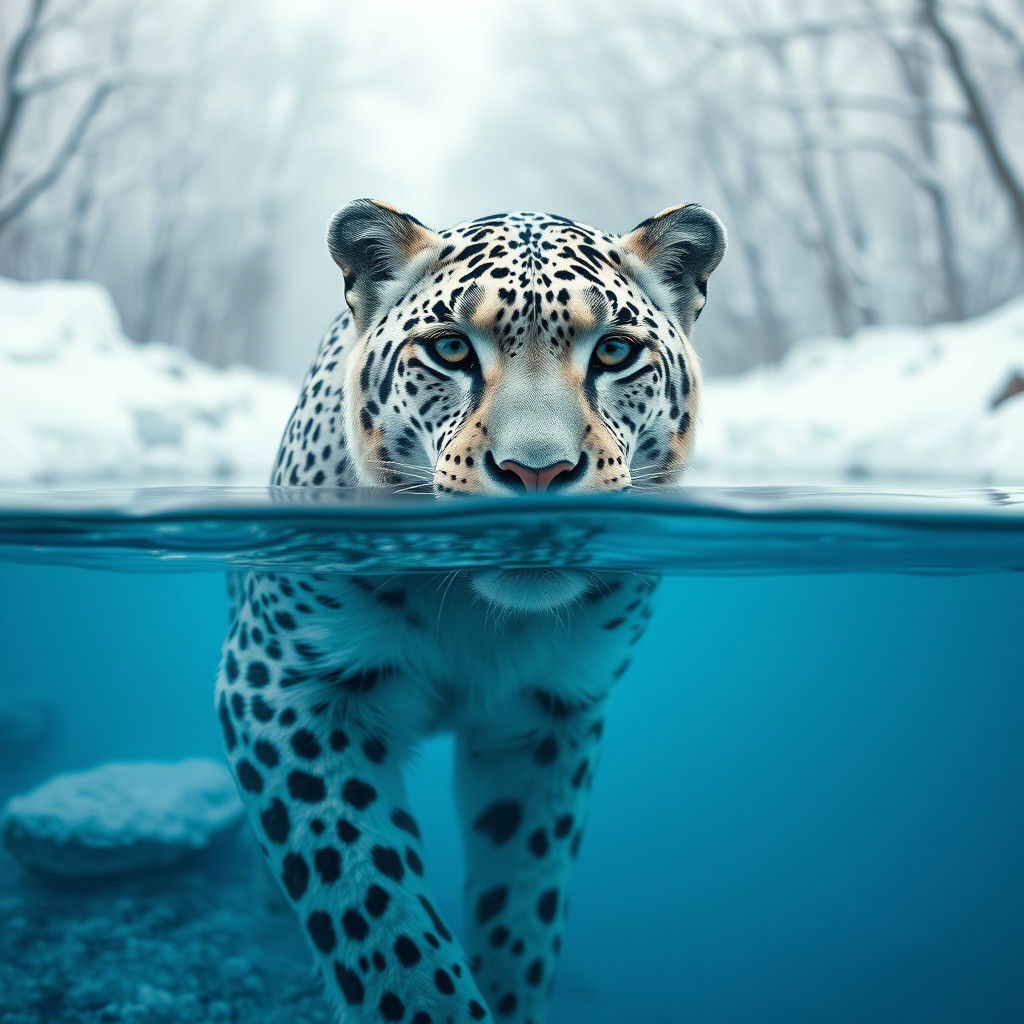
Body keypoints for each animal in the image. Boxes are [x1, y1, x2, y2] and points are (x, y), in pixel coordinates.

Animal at [216, 199, 726, 1023]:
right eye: (451, 349)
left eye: (615, 352)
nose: (537, 471)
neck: (479, 621)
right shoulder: (284, 686)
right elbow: (376, 909)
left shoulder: (551, 716)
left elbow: (523, 903)